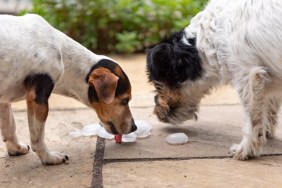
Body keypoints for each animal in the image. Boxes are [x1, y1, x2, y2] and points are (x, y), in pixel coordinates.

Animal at [0, 14, 137, 164]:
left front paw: (15, 149)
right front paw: (49, 158)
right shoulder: (37, 99)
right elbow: (38, 137)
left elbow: (9, 126)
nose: (134, 127)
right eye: (125, 100)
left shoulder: (4, 100)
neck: (62, 54)